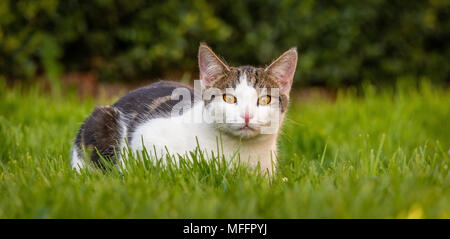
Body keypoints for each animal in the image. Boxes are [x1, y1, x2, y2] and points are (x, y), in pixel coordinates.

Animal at [71, 43, 298, 175]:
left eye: (265, 99)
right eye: (229, 98)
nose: (247, 115)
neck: (241, 151)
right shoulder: (146, 136)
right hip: (101, 119)